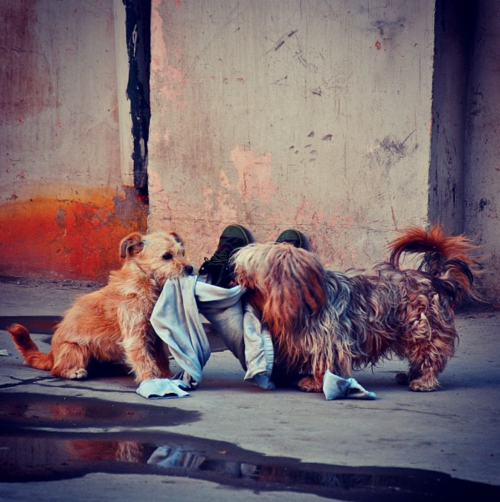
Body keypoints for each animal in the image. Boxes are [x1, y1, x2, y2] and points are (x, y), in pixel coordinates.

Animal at [6, 230, 192, 380]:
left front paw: (166, 375)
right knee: (56, 369)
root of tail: (51, 354)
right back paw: (73, 371)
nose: (190, 268)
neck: (144, 282)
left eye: (182, 253)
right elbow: (144, 359)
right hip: (75, 349)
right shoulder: (135, 336)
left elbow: (161, 358)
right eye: (166, 256)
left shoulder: (155, 338)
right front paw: (152, 380)